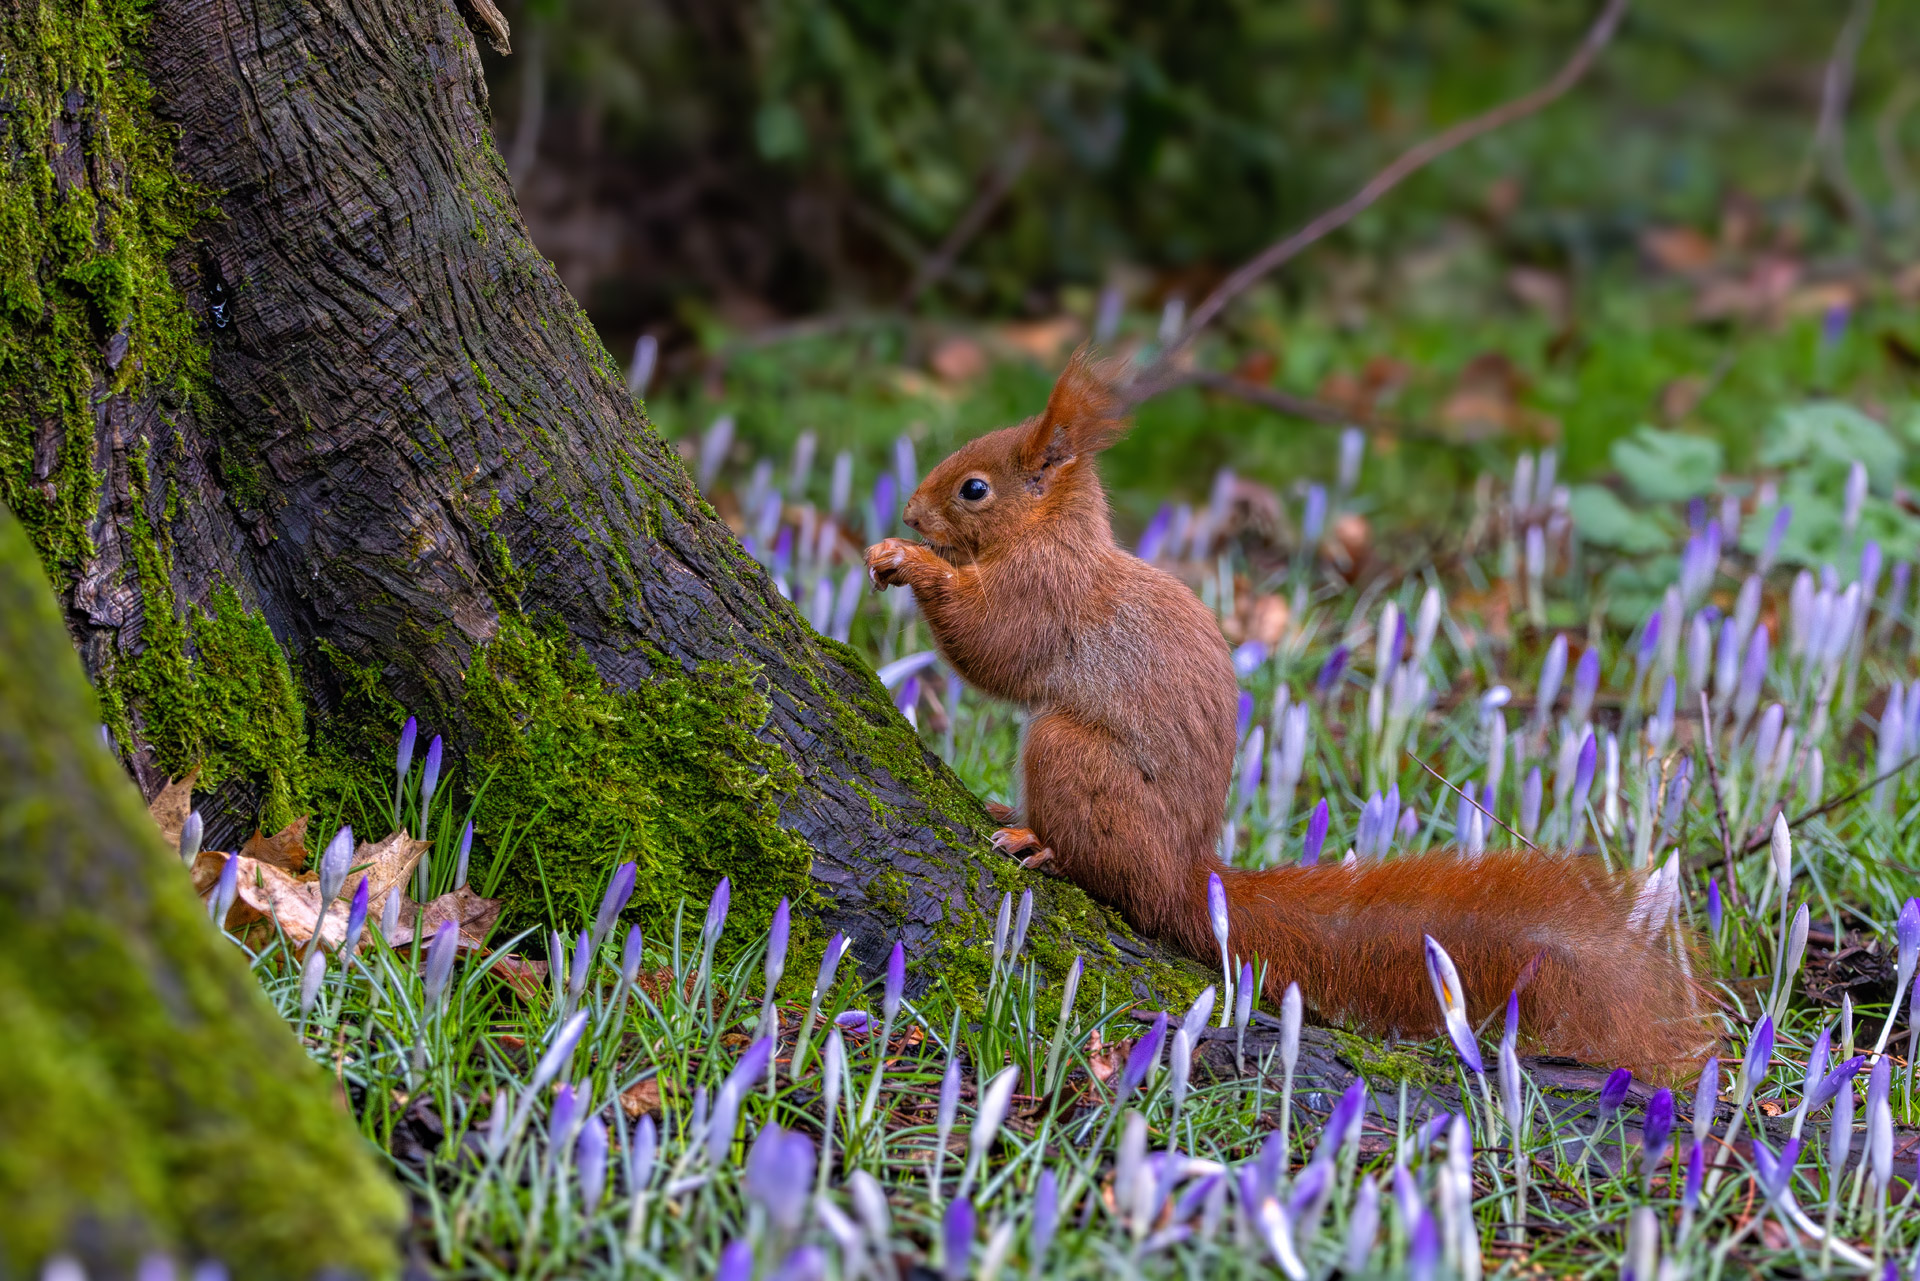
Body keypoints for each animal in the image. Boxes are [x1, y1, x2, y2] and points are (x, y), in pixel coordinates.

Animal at [871, 345, 1712, 1075]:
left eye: (974, 488)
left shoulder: (1044, 593)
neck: (1053, 533)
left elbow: (995, 646)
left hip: (1068, 753)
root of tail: (1185, 874)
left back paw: (1039, 840)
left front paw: (909, 562)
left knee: (1106, 870)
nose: (909, 512)